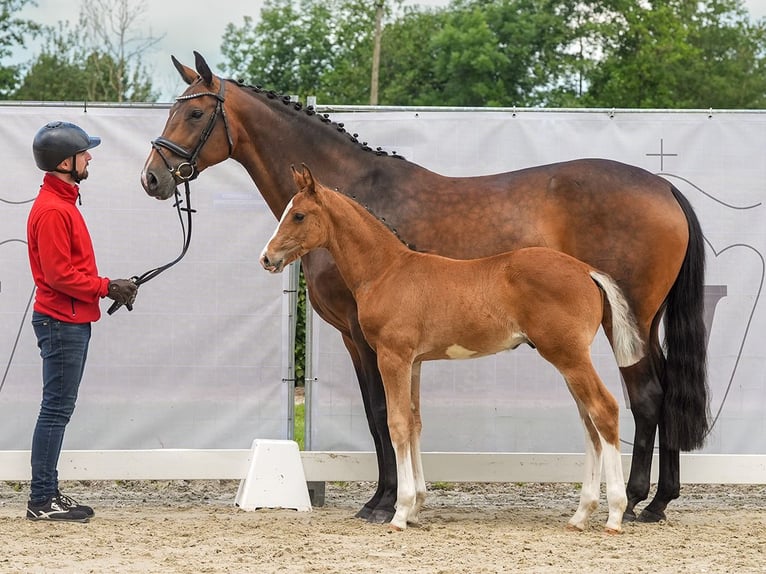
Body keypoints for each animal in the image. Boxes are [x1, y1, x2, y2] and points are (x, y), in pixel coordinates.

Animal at [260, 165, 644, 536]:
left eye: (299, 215)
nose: (267, 258)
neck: (386, 271)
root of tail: (587, 270)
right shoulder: (414, 362)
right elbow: (414, 422)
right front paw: (416, 507)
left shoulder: (393, 357)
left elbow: (396, 423)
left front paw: (399, 512)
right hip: (567, 360)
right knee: (589, 422)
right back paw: (580, 515)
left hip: (569, 356)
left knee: (604, 410)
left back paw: (614, 515)